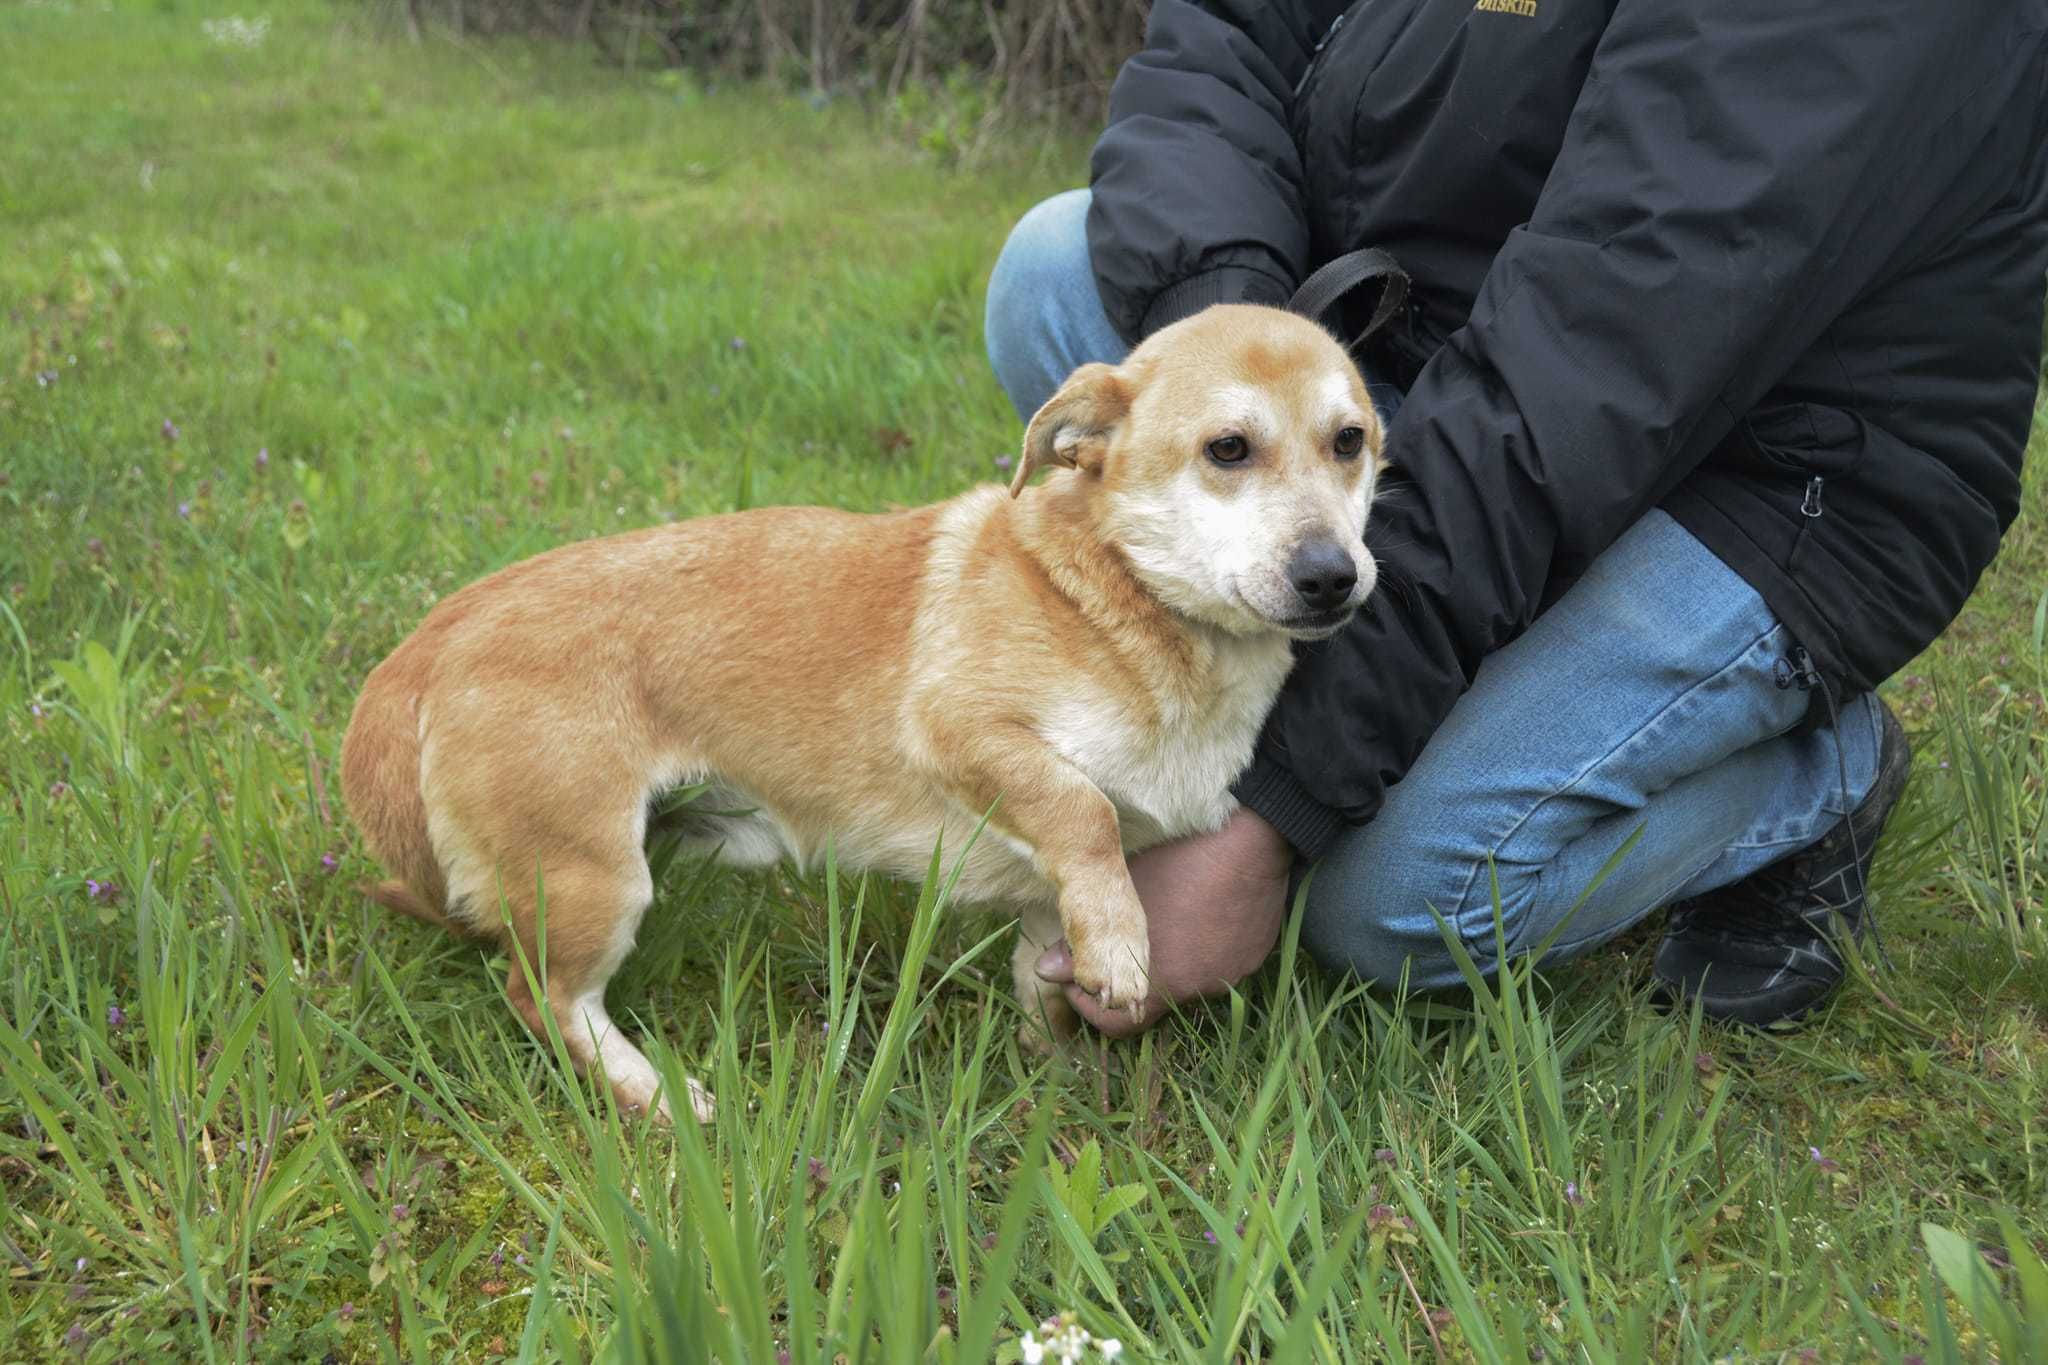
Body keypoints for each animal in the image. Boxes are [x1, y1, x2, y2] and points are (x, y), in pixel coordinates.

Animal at [344, 306, 1384, 1121]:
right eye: (1227, 449)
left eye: (1351, 442)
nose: (1334, 576)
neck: (1130, 607)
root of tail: (435, 636)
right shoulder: (960, 732)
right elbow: (1081, 807)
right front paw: (1125, 947)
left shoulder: (1046, 902)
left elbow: (1045, 970)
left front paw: (1057, 1068)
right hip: (594, 879)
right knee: (546, 999)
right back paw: (655, 1092)